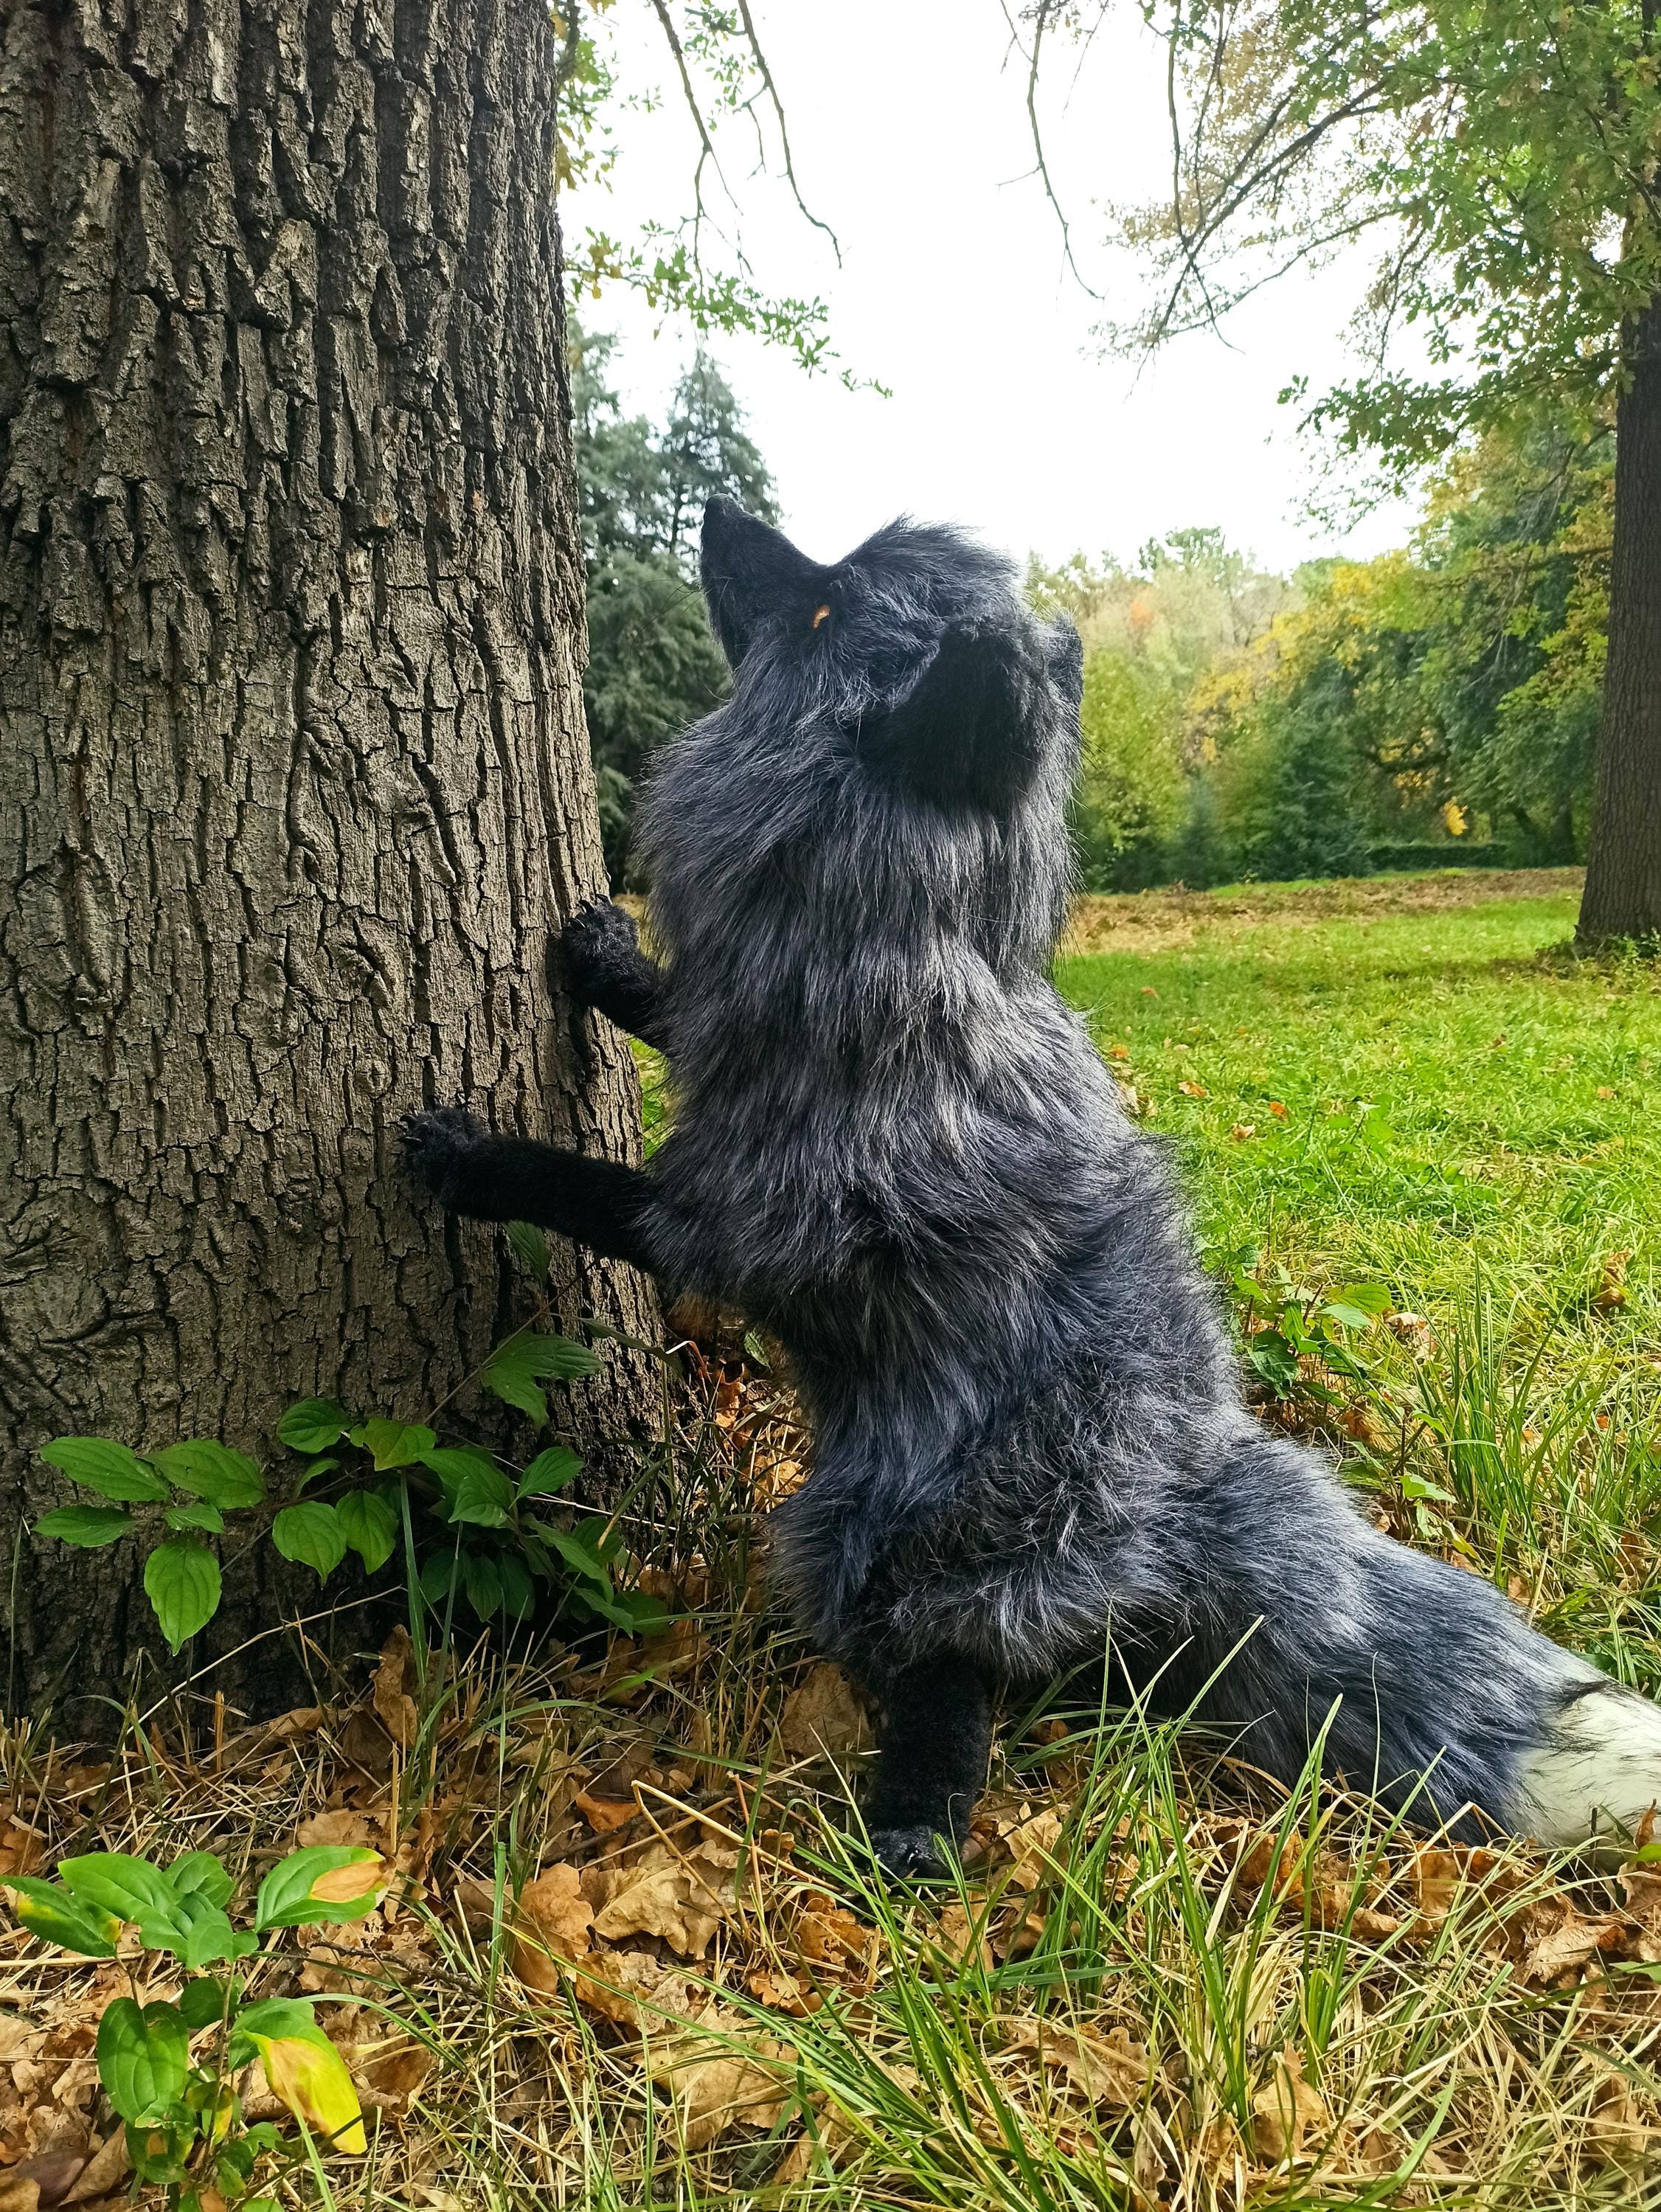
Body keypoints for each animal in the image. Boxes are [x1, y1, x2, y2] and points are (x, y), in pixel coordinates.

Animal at [402, 495, 1661, 1874]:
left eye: (826, 607)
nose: (719, 511)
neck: (903, 970)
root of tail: (1185, 1491)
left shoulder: (737, 1218)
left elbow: (587, 1187)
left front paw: (473, 1161)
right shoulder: (735, 1040)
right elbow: (676, 1014)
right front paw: (611, 958)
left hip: (907, 1537)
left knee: (958, 1673)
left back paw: (916, 1825)